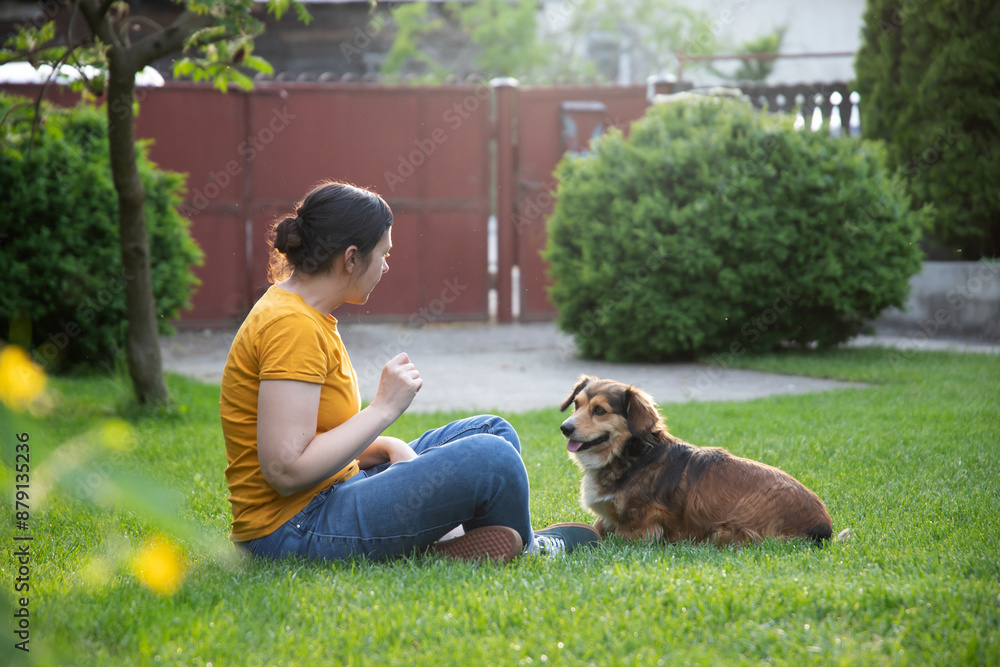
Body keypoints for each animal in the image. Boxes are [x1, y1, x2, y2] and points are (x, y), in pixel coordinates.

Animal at [560, 376, 840, 548]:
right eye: (576, 405)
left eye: (600, 410)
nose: (565, 428)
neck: (631, 456)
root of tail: (824, 526)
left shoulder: (643, 523)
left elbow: (615, 536)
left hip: (726, 531)